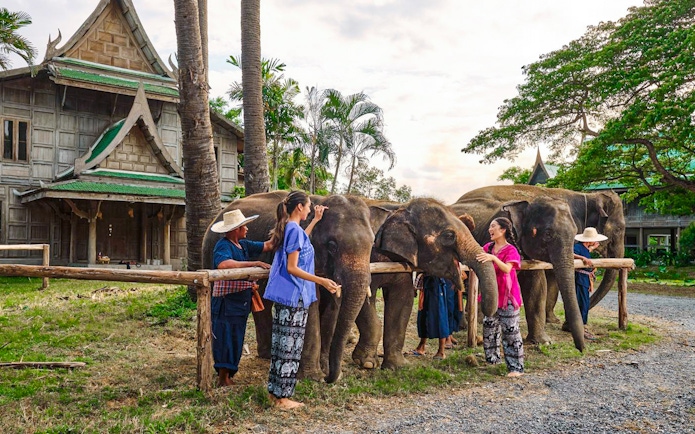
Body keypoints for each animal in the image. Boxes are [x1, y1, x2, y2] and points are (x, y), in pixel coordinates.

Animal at [202, 191, 375, 384]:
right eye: (332, 245)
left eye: (373, 244)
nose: (330, 378)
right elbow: (311, 302)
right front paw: (313, 377)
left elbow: (332, 307)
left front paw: (324, 370)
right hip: (210, 253)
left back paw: (268, 355)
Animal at [351, 198, 498, 371]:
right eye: (449, 235)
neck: (398, 210)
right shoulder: (367, 257)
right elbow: (365, 299)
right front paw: (367, 363)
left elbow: (402, 300)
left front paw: (398, 366)